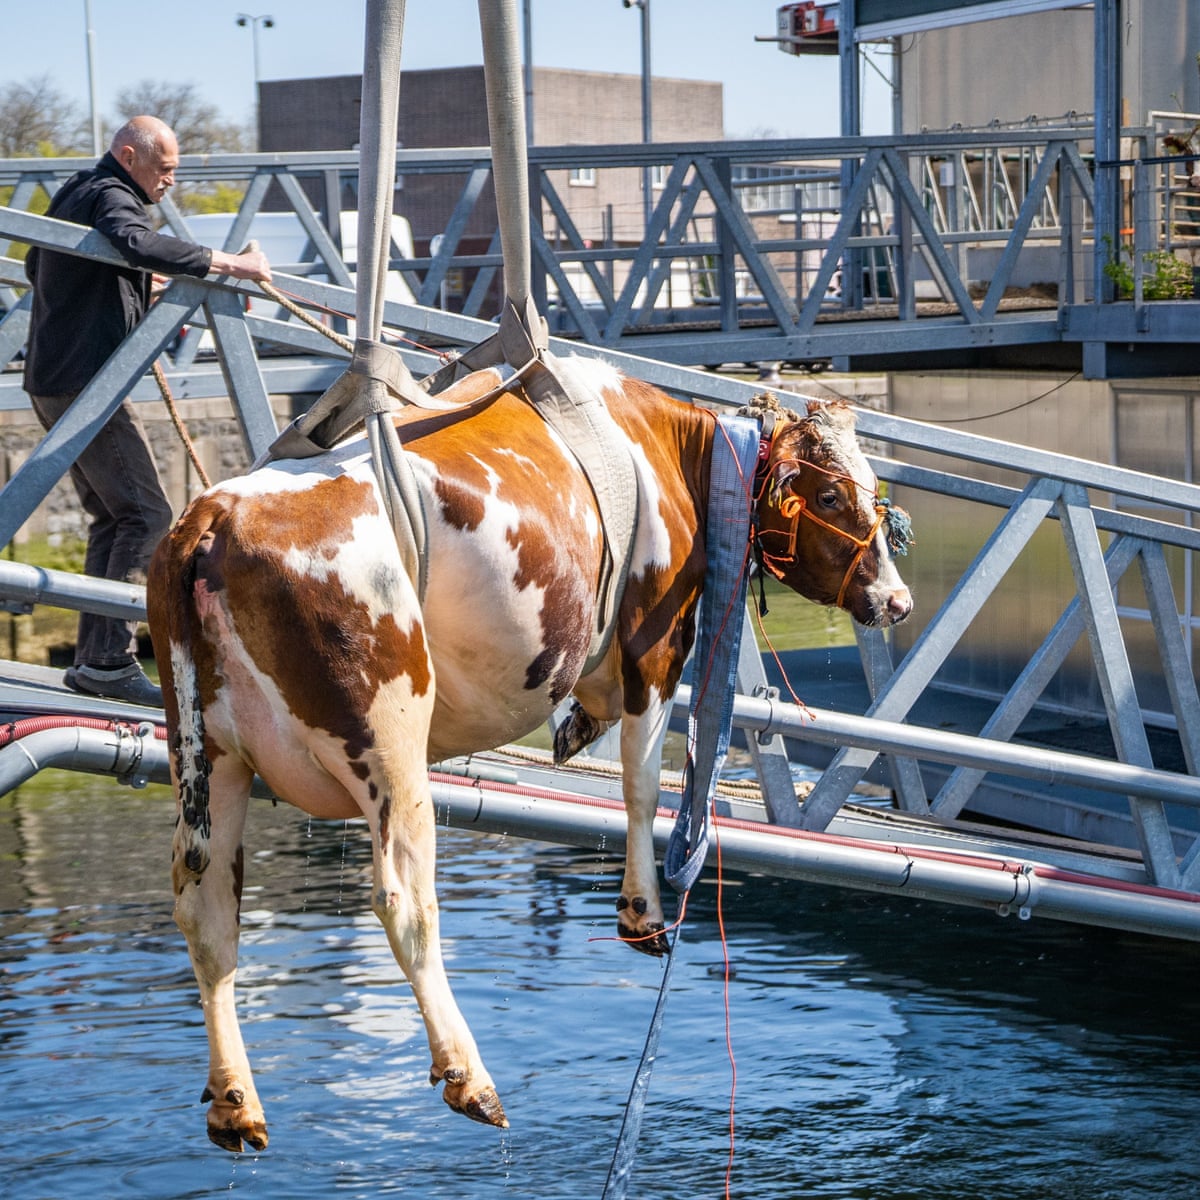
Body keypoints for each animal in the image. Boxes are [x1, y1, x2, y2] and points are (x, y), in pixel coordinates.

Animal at [150, 352, 912, 1152]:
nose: (899, 602)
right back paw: (468, 1074)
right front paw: (641, 910)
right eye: (830, 492)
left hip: (214, 757)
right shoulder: (654, 646)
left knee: (207, 911)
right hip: (389, 743)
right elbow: (642, 784)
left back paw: (235, 1100)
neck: (665, 444)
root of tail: (212, 516)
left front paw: (575, 730)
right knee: (404, 901)